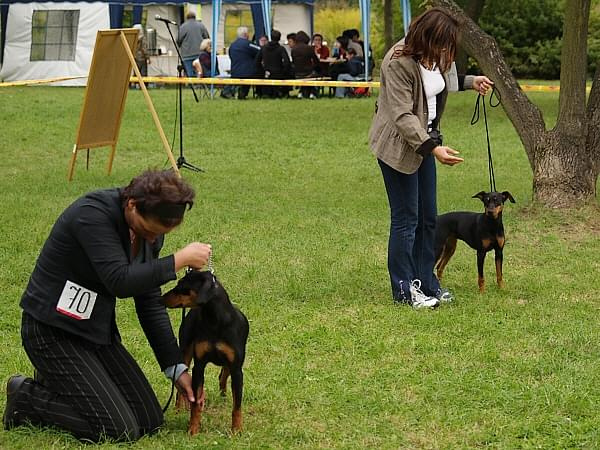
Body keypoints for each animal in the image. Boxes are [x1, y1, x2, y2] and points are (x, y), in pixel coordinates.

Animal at [159, 268, 248, 434]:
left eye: (182, 285)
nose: (161, 299)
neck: (215, 321)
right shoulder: (199, 366)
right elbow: (195, 403)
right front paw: (193, 430)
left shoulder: (236, 368)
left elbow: (237, 406)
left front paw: (236, 430)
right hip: (185, 352)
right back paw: (178, 408)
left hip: (231, 364)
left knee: (222, 376)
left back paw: (223, 397)